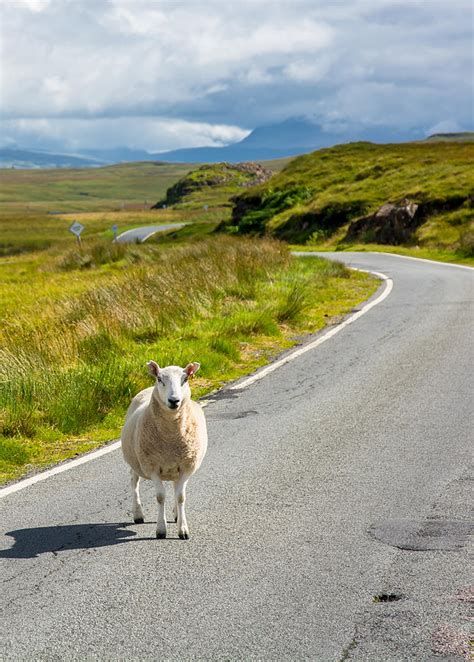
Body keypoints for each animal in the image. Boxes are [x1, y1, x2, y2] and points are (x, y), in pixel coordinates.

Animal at [121, 364, 206, 540]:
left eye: (185, 379)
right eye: (160, 379)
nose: (174, 401)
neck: (170, 440)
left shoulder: (186, 466)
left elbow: (181, 496)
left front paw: (183, 529)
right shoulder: (152, 467)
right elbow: (160, 497)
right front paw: (161, 530)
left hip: (177, 467)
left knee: (175, 487)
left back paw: (176, 515)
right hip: (136, 461)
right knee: (134, 481)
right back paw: (138, 514)